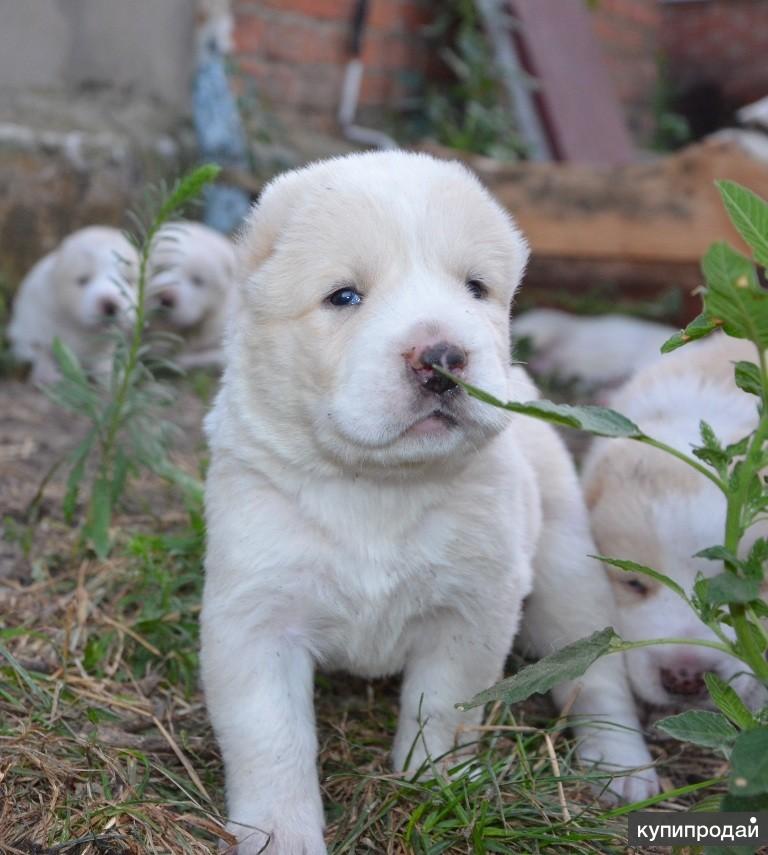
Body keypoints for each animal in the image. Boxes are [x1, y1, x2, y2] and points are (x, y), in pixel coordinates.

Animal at [9, 229, 140, 386]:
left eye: (127, 281)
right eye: (83, 280)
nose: (110, 304)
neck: (78, 326)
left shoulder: (105, 345)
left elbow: (103, 362)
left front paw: (113, 379)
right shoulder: (38, 325)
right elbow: (44, 352)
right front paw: (50, 376)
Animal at [201, 152, 656, 855]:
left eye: (475, 288)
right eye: (344, 296)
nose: (443, 355)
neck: (377, 486)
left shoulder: (474, 609)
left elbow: (442, 706)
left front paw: (435, 785)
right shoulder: (254, 617)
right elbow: (271, 740)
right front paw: (281, 834)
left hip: (565, 578)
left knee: (596, 677)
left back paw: (622, 769)